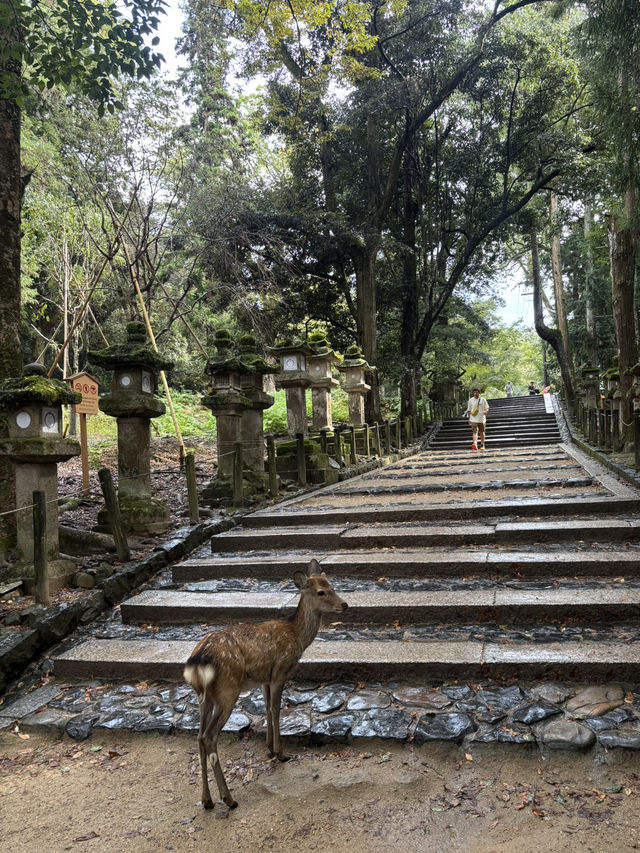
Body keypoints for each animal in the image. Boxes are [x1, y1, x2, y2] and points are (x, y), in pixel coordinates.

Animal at [184, 558, 348, 810]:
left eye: (332, 585)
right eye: (321, 592)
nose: (345, 605)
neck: (297, 636)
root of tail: (197, 662)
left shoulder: (263, 678)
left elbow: (267, 710)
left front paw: (269, 748)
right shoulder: (280, 671)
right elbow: (276, 709)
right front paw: (281, 754)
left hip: (203, 696)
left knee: (199, 736)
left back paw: (207, 800)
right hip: (227, 691)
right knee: (209, 737)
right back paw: (228, 799)